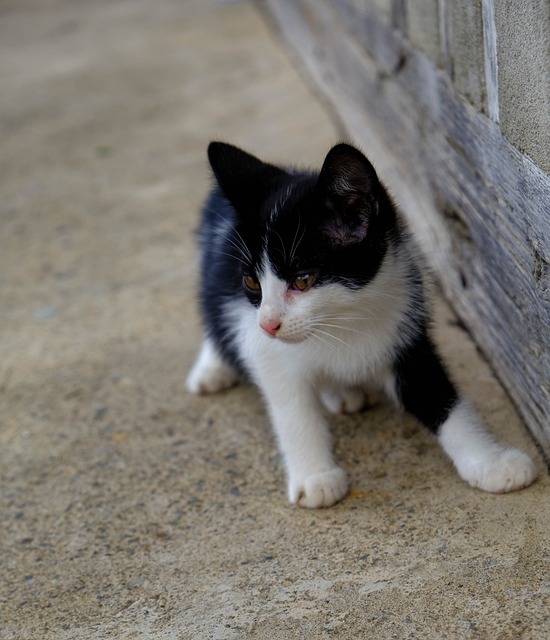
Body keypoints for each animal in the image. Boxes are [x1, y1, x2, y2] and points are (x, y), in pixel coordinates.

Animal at [187, 142, 540, 508]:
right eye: (252, 283)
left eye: (303, 280)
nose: (269, 324)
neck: (344, 319)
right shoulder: (263, 346)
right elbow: (292, 408)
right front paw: (315, 476)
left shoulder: (405, 332)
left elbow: (440, 398)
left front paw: (489, 462)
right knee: (215, 317)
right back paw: (212, 369)